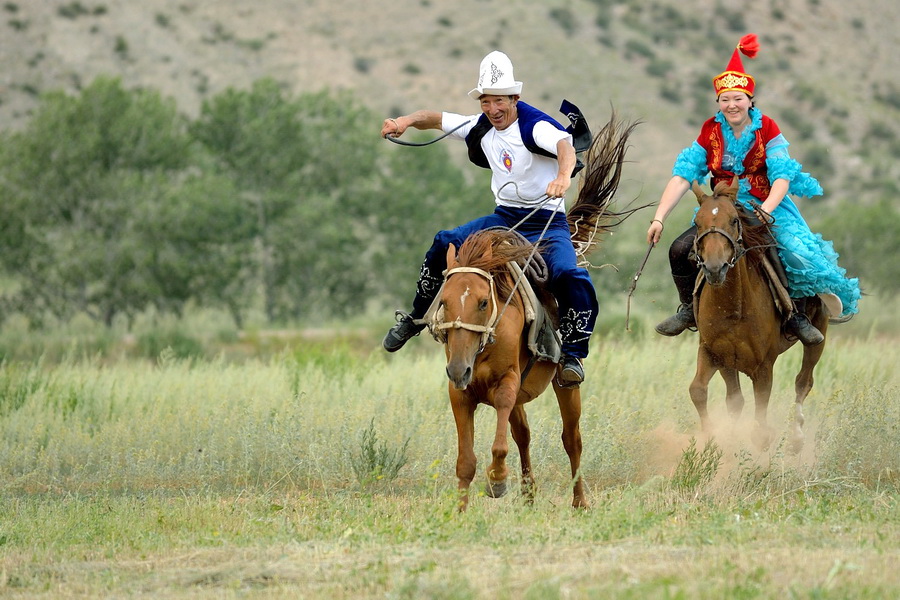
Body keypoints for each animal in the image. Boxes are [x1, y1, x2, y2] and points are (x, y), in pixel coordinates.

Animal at [432, 230, 588, 510]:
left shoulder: (507, 384)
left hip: (565, 387)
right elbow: (466, 462)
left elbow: (500, 447)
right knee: (523, 436)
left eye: (483, 302)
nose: (458, 370)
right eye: (444, 301)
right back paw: (528, 495)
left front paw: (497, 480)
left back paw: (580, 502)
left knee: (572, 440)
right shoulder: (459, 394)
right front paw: (459, 513)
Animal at [692, 180, 828, 452]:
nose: (714, 268)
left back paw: (797, 439)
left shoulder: (764, 367)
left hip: (819, 335)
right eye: (697, 222)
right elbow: (701, 392)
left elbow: (761, 432)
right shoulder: (715, 354)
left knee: (803, 381)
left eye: (734, 220)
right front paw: (712, 441)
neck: (734, 309)